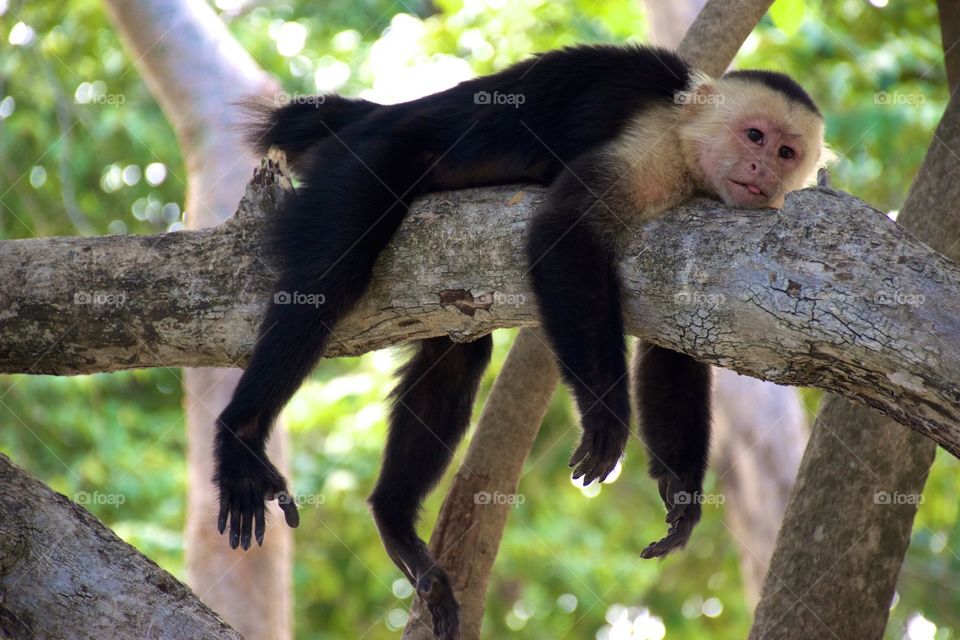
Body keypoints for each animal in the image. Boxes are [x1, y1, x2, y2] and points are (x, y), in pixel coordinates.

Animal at [215, 44, 828, 640]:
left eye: (787, 153)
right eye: (754, 136)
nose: (762, 168)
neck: (689, 150)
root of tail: (380, 112)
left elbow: (674, 349)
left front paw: (682, 489)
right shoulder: (652, 144)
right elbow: (564, 232)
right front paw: (606, 417)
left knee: (456, 352)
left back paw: (394, 519)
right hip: (366, 158)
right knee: (326, 280)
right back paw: (241, 435)